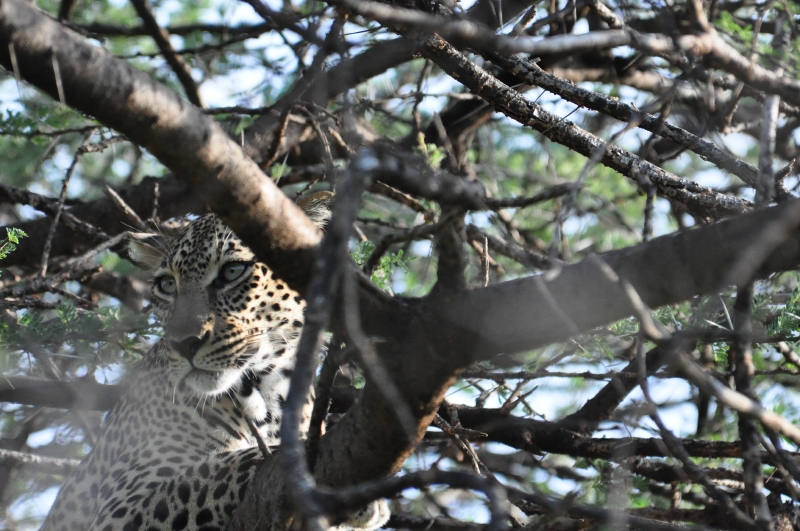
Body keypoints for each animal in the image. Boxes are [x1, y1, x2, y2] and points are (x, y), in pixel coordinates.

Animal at [40, 195, 389, 531]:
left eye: (233, 271)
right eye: (167, 285)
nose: (184, 344)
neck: (268, 393)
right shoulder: (119, 506)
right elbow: (219, 467)